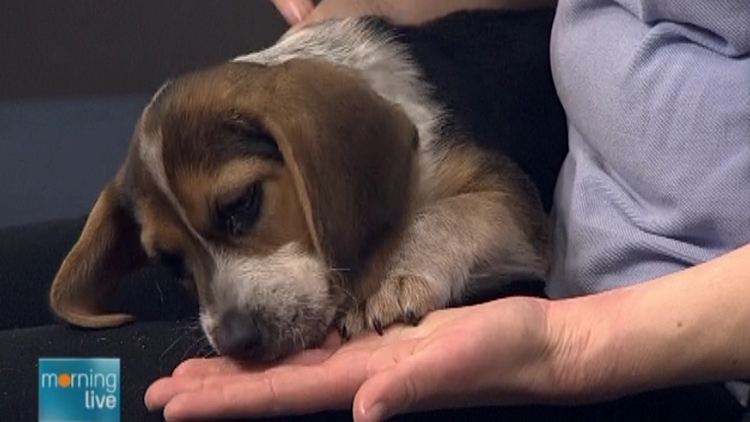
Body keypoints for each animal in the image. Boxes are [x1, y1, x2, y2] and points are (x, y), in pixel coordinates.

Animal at [48, 9, 564, 360]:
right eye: (171, 262)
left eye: (241, 203)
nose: (235, 343)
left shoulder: (511, 200)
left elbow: (448, 213)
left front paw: (392, 276)